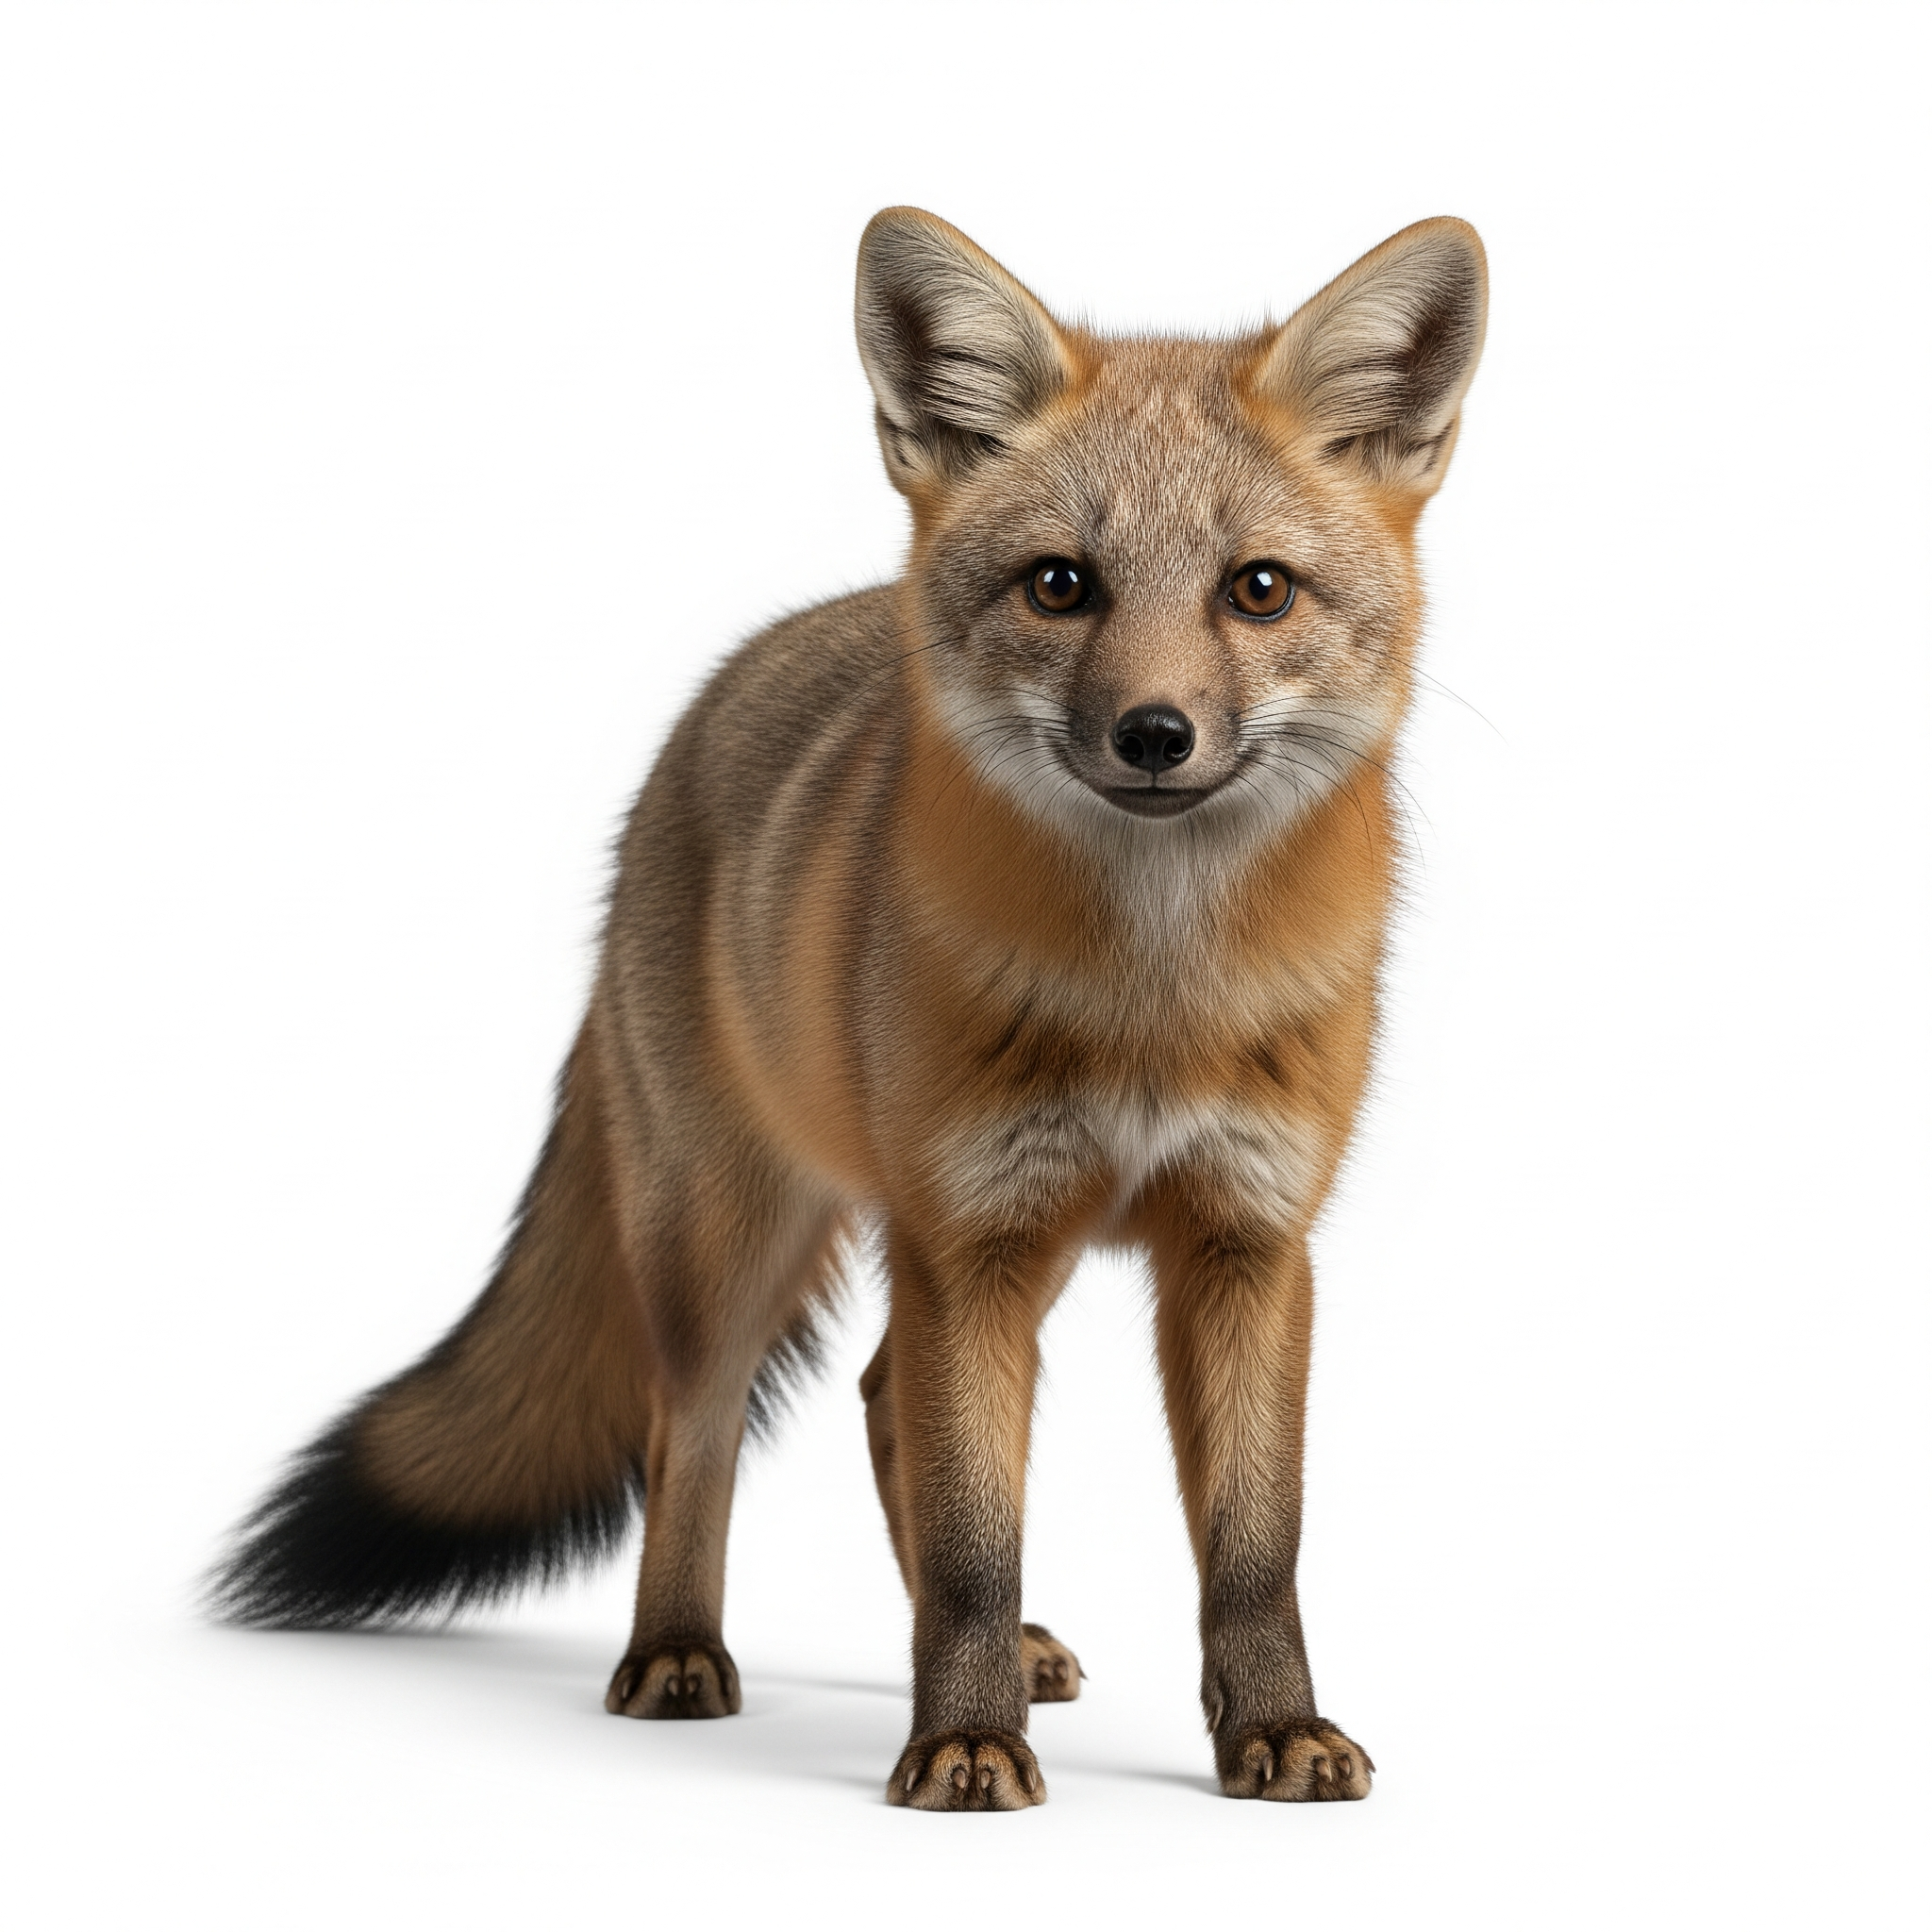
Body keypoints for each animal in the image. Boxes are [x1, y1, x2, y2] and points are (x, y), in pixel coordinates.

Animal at [213, 207, 1488, 1810]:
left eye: (1257, 589)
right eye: (1060, 585)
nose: (1154, 735)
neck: (1152, 1000)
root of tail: (730, 688)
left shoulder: (1245, 1244)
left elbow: (1256, 1549)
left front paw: (1271, 1730)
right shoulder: (968, 1238)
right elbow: (974, 1537)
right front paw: (961, 1742)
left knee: (880, 1397)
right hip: (732, 1238)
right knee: (689, 1432)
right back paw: (679, 1653)